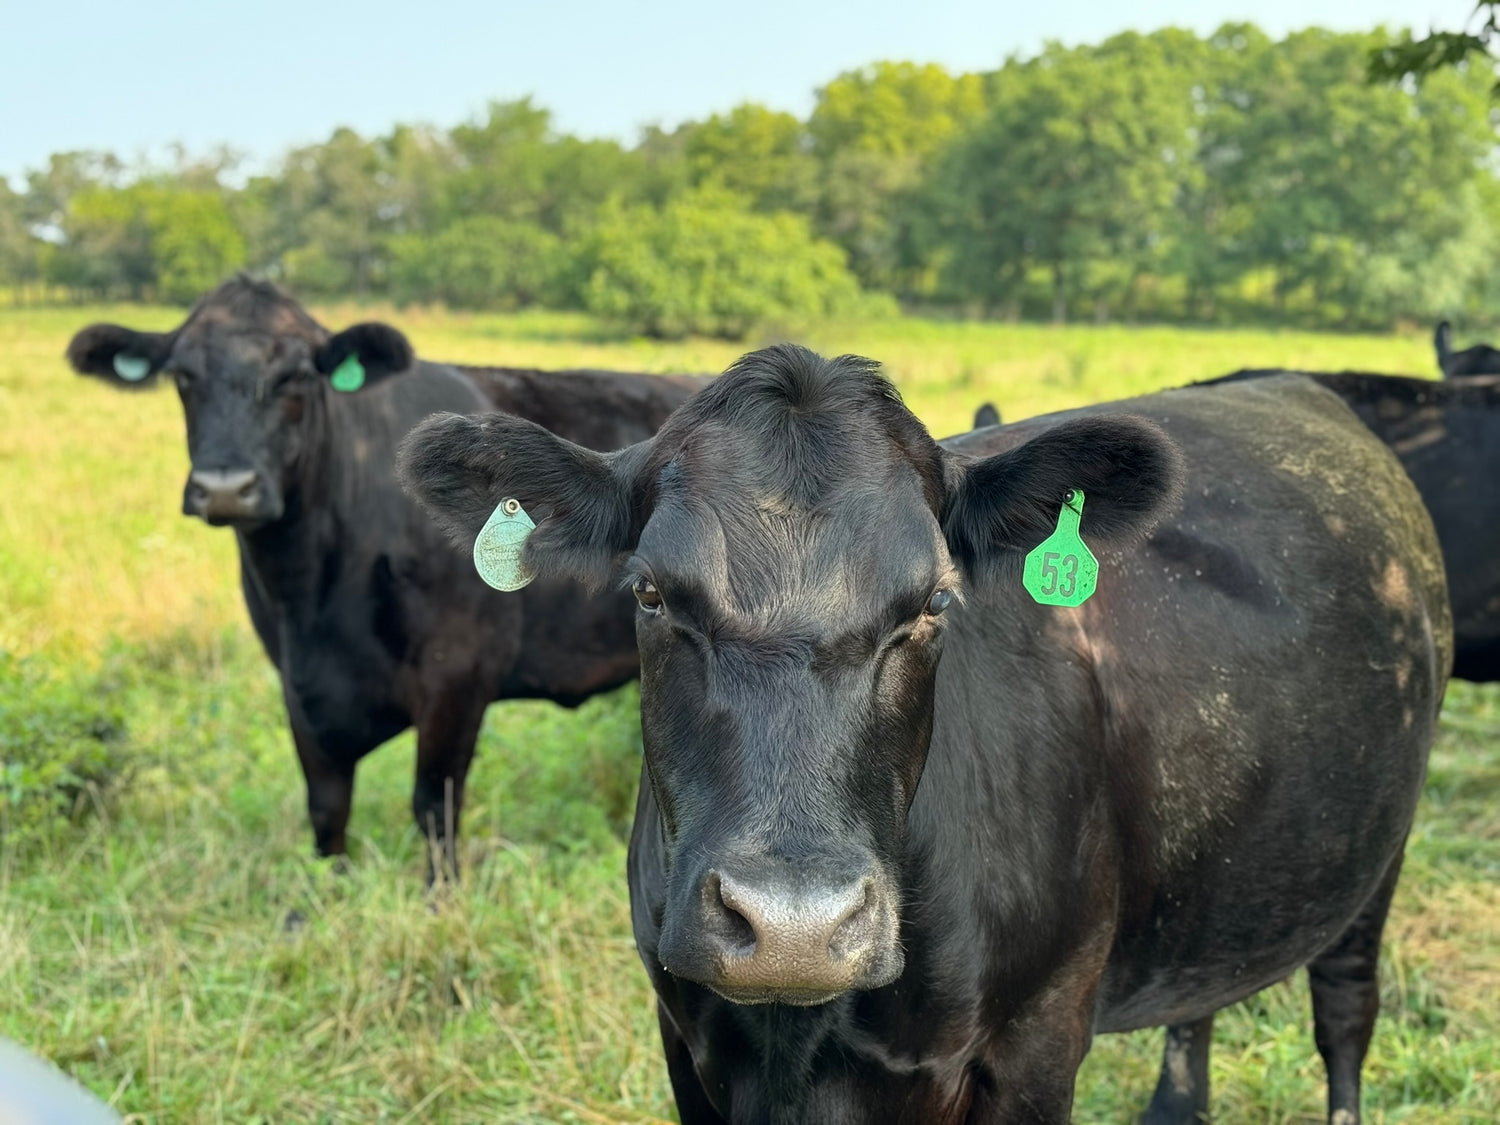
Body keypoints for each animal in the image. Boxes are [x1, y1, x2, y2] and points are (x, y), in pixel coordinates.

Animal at [65, 277, 701, 881]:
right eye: (182, 376)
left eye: (297, 376)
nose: (225, 488)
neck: (312, 597)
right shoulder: (298, 688)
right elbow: (326, 809)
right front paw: (328, 892)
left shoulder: (459, 673)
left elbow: (434, 806)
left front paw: (441, 899)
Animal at [399, 345, 1449, 1124]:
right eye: (652, 594)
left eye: (933, 601)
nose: (794, 927)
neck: (808, 1043)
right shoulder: (685, 1031)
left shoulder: (1039, 1038)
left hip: (1378, 848)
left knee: (1345, 1013)